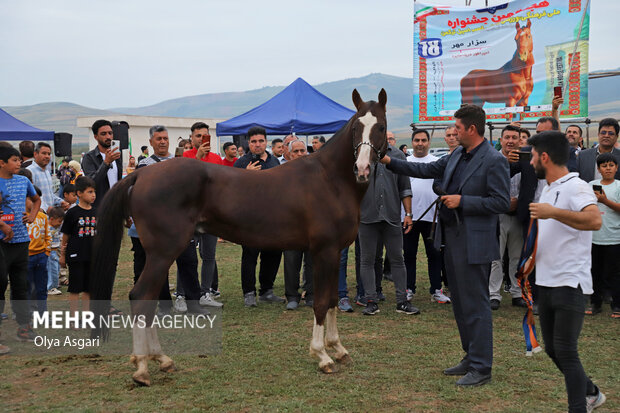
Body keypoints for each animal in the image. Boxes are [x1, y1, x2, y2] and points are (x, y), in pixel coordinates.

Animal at [88, 88, 388, 384]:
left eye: (381, 127)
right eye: (356, 128)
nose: (361, 169)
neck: (329, 180)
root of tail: (141, 175)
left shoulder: (334, 253)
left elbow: (333, 301)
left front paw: (339, 349)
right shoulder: (323, 252)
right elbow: (322, 303)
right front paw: (323, 356)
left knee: (147, 300)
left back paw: (161, 360)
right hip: (163, 253)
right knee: (141, 297)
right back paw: (142, 368)